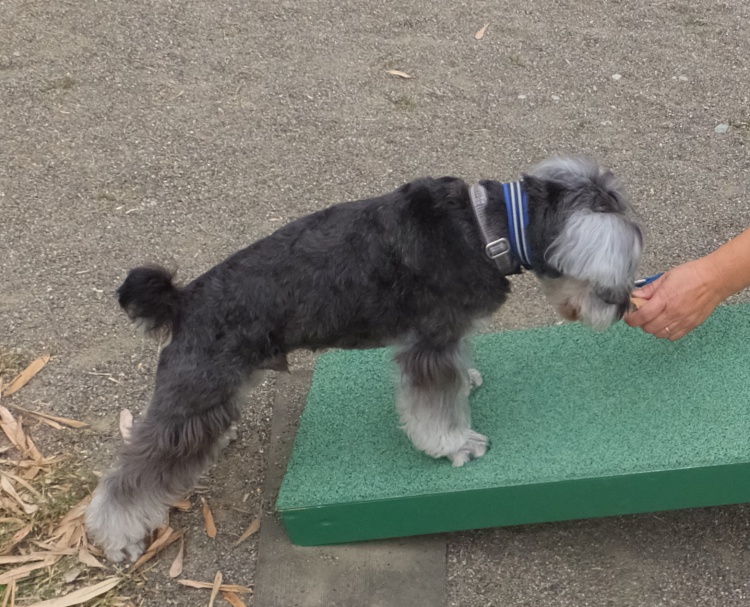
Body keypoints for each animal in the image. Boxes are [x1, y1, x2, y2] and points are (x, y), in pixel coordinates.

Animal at [86, 156, 642, 562]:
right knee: (130, 476)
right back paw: (118, 536)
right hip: (196, 390)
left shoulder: (449, 335)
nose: (623, 308)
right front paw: (456, 444)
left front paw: (468, 381)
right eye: (613, 270)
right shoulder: (430, 346)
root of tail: (183, 301)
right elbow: (436, 410)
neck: (487, 231)